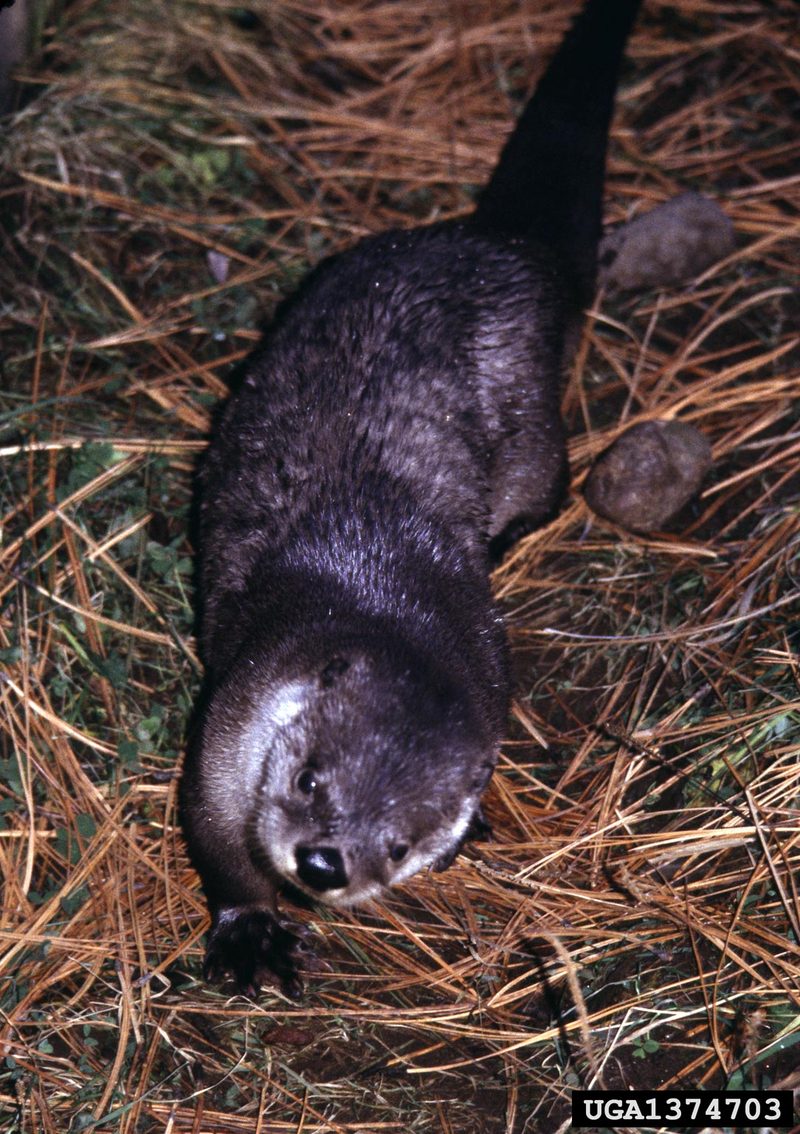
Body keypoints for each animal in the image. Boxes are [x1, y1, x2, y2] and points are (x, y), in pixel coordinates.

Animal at [182, 0, 644, 997]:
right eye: (311, 778)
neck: (388, 606)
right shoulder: (236, 721)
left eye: (396, 843)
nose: (324, 861)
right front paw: (250, 931)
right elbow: (215, 832)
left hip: (531, 428)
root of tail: (504, 250)